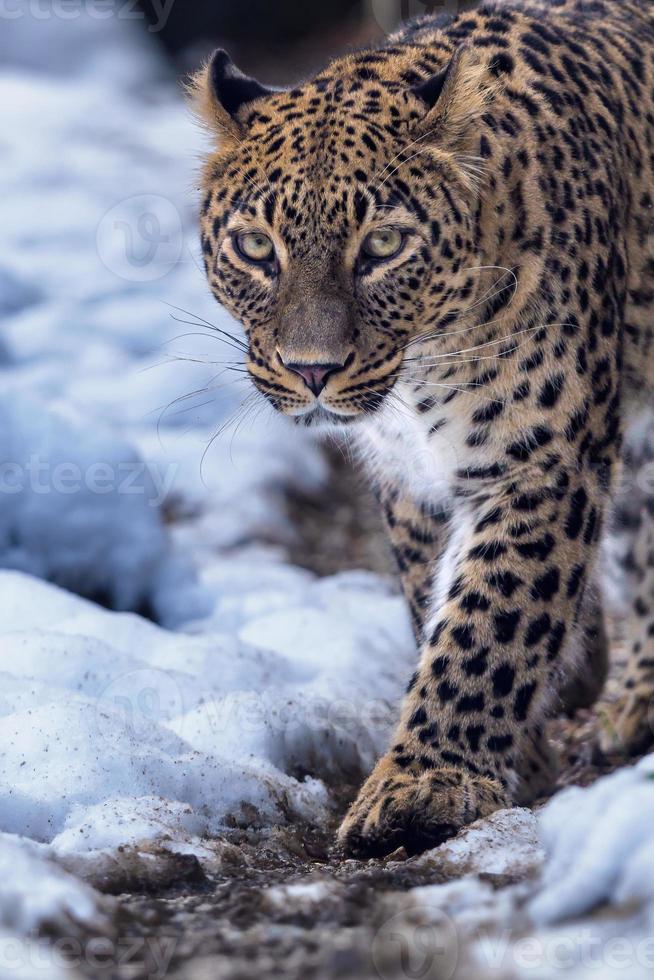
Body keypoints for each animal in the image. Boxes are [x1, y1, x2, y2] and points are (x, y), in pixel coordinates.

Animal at [192, 0, 654, 852]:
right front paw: (519, 752)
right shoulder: (410, 480)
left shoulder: (539, 461)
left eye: (382, 245)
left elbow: (492, 618)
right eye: (256, 247)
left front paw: (427, 785)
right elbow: (435, 600)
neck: (421, 372)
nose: (311, 370)